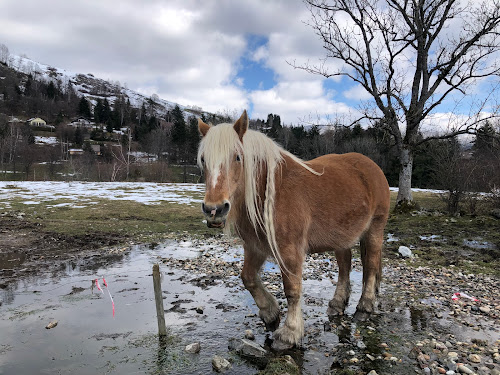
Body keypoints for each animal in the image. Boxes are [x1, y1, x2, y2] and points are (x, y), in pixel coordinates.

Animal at [196, 110, 390, 348]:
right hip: (341, 238)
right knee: (344, 268)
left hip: (374, 230)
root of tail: (373, 167)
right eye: (203, 160)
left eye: (237, 157)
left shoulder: (289, 250)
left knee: (370, 266)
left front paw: (290, 332)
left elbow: (292, 289)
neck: (269, 192)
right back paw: (337, 304)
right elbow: (248, 278)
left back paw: (365, 307)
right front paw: (270, 314)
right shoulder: (255, 247)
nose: (214, 210)